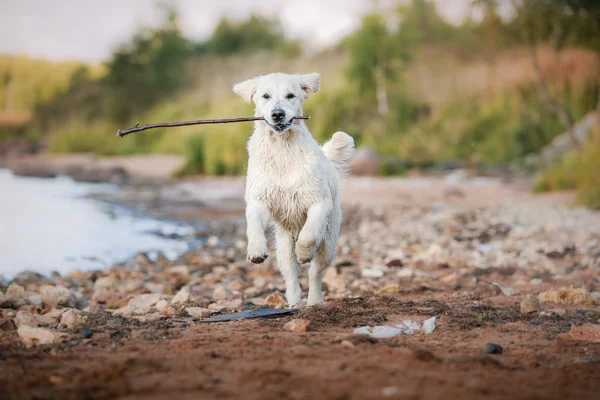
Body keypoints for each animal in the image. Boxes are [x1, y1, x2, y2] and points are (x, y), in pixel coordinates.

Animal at [232, 72, 354, 306]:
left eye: (290, 95)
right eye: (265, 96)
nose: (277, 114)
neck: (282, 149)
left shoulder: (318, 201)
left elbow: (308, 235)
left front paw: (304, 253)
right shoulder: (259, 199)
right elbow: (253, 222)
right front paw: (256, 250)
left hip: (329, 242)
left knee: (315, 272)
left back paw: (314, 300)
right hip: (283, 243)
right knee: (290, 272)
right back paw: (294, 299)